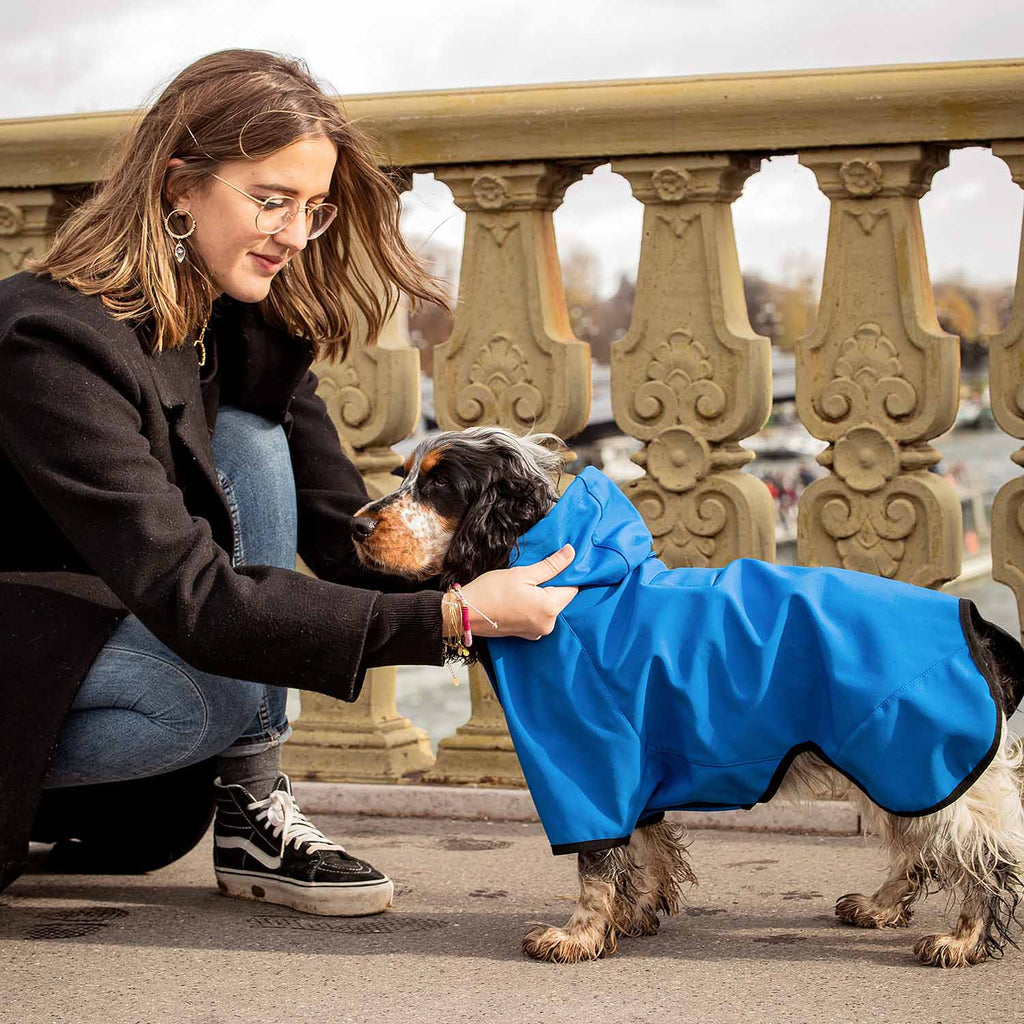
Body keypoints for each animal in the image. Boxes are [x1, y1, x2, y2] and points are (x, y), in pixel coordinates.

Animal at [352, 423, 1024, 966]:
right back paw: (881, 907)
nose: (356, 526)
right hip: (894, 764)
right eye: (407, 474)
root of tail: (974, 620)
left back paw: (964, 940)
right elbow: (646, 843)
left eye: (440, 485)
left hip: (915, 755)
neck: (576, 580)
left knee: (984, 855)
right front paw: (636, 912)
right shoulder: (639, 758)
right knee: (923, 847)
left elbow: (596, 862)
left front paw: (577, 935)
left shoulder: (588, 760)